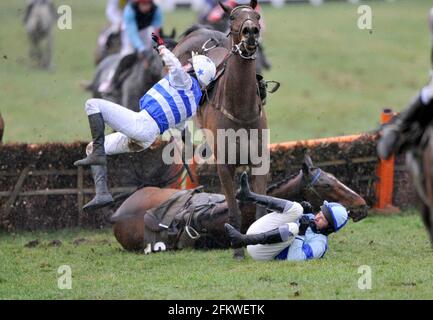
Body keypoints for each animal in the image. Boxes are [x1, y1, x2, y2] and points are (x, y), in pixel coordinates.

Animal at [172, 0, 266, 260]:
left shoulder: (259, 161)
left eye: (256, 15)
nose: (250, 31)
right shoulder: (224, 165)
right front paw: (237, 249)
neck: (241, 108)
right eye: (233, 17)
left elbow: (259, 207)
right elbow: (233, 209)